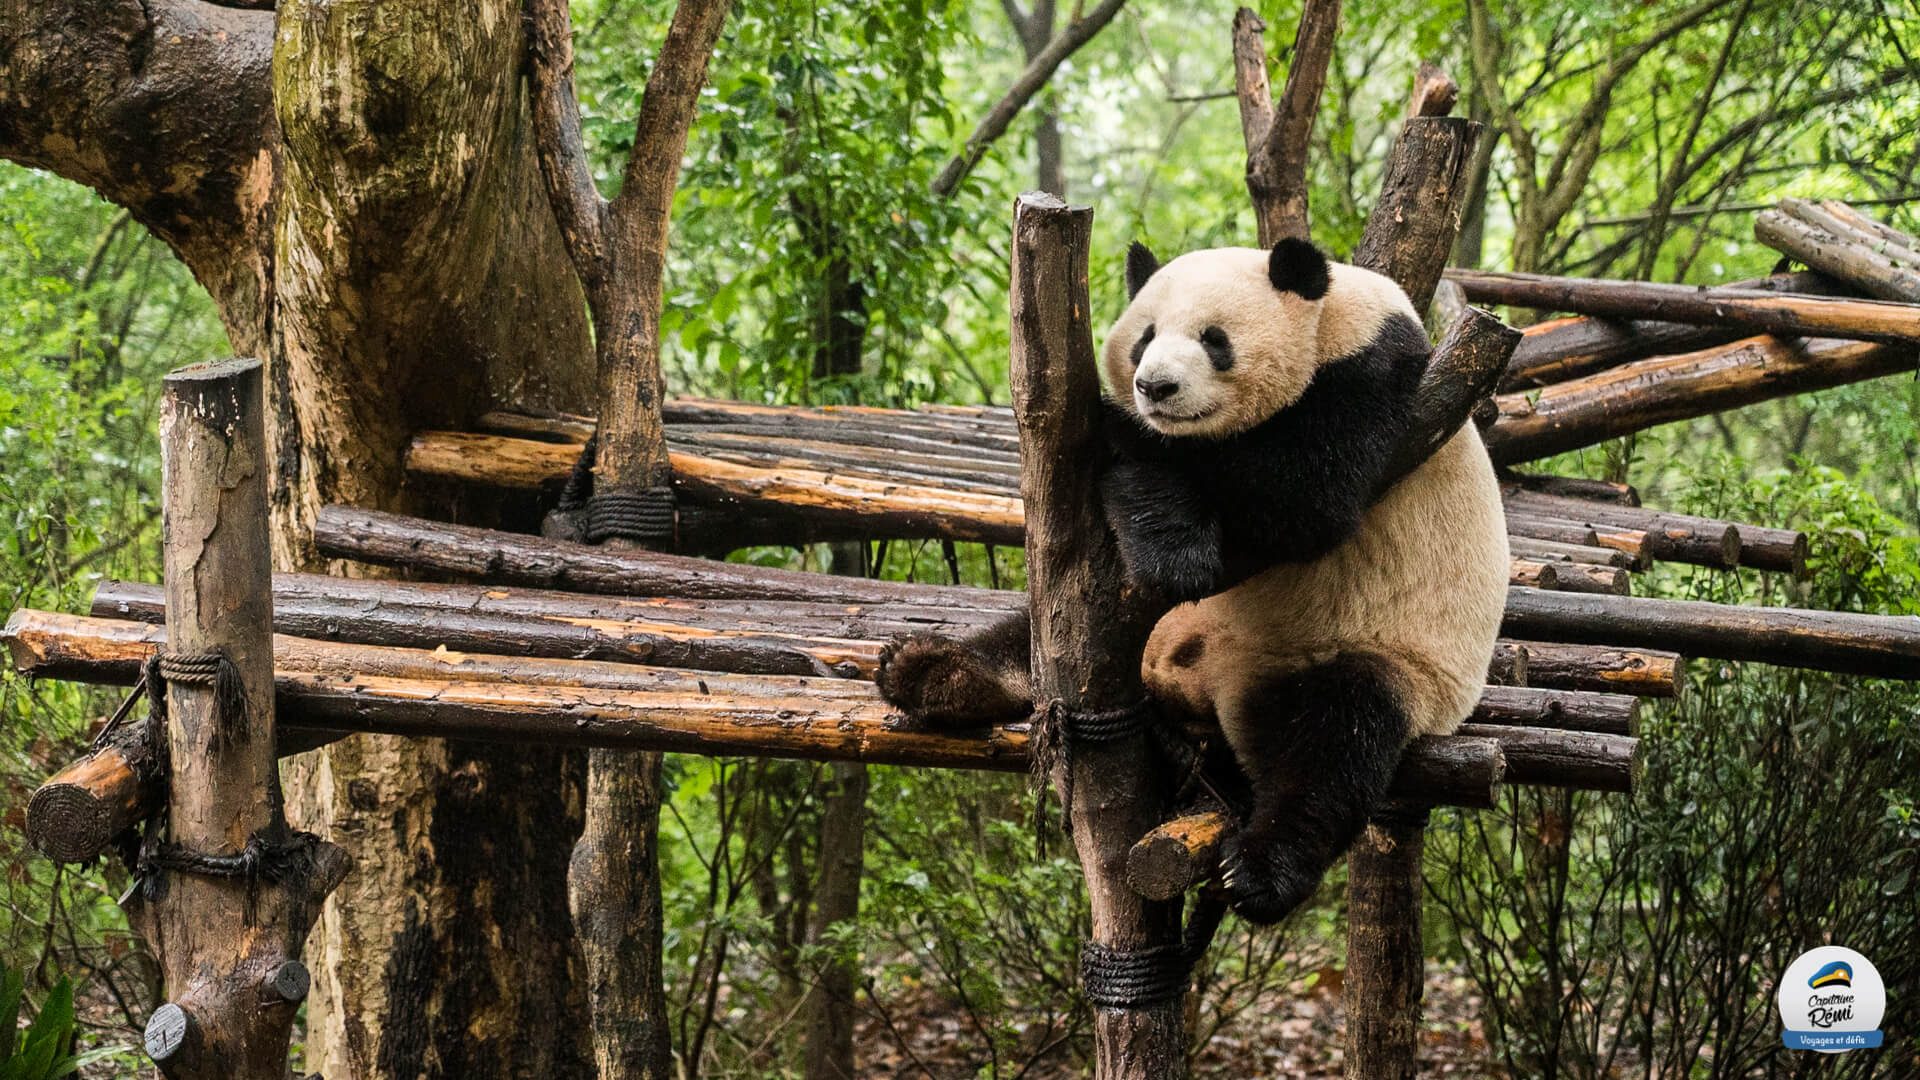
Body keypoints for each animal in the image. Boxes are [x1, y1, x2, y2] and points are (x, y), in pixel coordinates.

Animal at [877, 236, 1509, 923]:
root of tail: (1193, 686)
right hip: (1152, 633)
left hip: (1371, 653)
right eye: (1145, 337)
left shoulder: (1374, 377)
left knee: (1333, 741)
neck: (1330, 321)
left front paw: (1135, 456)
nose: (1154, 386)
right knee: (1030, 640)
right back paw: (932, 672)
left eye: (1214, 340)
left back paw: (1261, 871)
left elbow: (1303, 492)